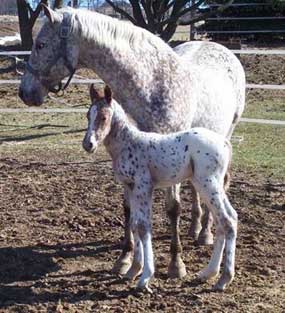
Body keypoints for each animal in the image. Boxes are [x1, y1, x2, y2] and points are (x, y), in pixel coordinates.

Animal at [82, 83, 237, 292]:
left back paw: (223, 279)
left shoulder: (143, 186)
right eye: (88, 115)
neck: (129, 143)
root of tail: (224, 142)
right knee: (226, 220)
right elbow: (135, 224)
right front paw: (133, 269)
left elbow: (143, 227)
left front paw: (145, 278)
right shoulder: (130, 188)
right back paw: (208, 273)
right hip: (209, 185)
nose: (88, 144)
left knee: (227, 220)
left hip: (207, 183)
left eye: (104, 117)